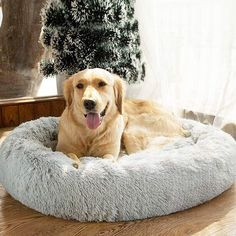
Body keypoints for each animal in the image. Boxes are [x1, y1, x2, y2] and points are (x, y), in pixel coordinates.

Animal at [56, 67, 189, 167]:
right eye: (79, 85)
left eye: (102, 83)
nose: (89, 103)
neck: (90, 133)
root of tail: (181, 127)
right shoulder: (61, 149)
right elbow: (70, 154)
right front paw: (75, 162)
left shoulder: (109, 153)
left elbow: (106, 159)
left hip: (131, 132)